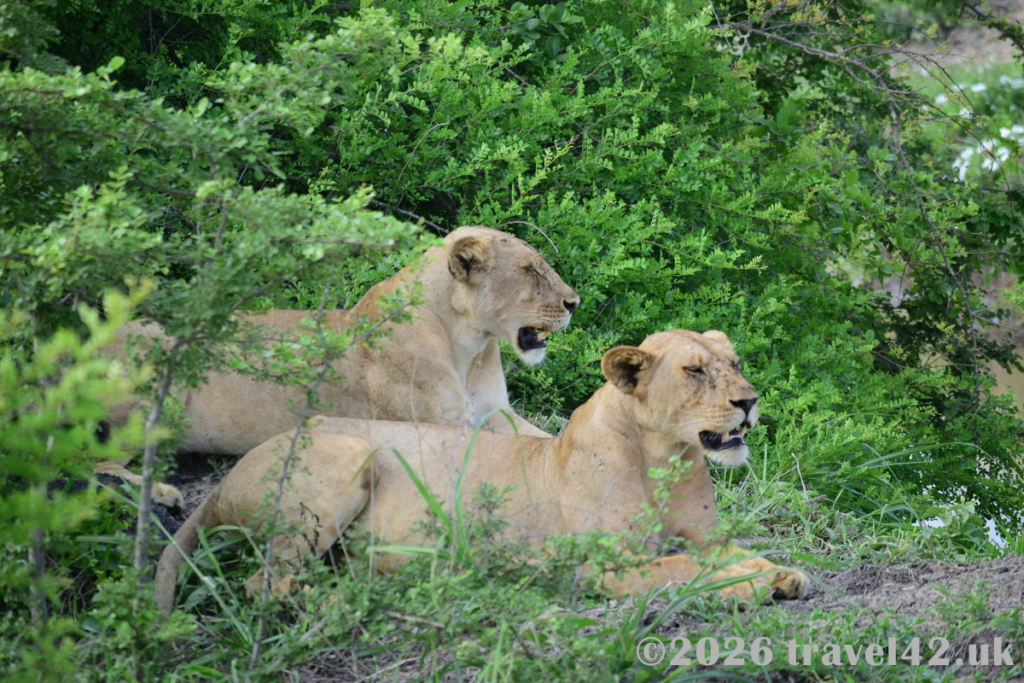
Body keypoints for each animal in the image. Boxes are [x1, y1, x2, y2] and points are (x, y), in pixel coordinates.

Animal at [97, 227, 580, 507]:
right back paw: (163, 494)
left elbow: (545, 439)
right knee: (93, 463)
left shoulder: (494, 412)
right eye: (532, 270)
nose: (575, 303)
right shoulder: (441, 429)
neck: (468, 345)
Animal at [153, 329, 808, 615]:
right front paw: (749, 582)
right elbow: (685, 569)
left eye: (735, 363)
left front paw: (781, 572)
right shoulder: (604, 566)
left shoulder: (706, 534)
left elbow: (723, 552)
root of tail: (225, 480)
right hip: (345, 452)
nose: (749, 400)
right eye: (695, 371)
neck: (665, 458)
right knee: (265, 583)